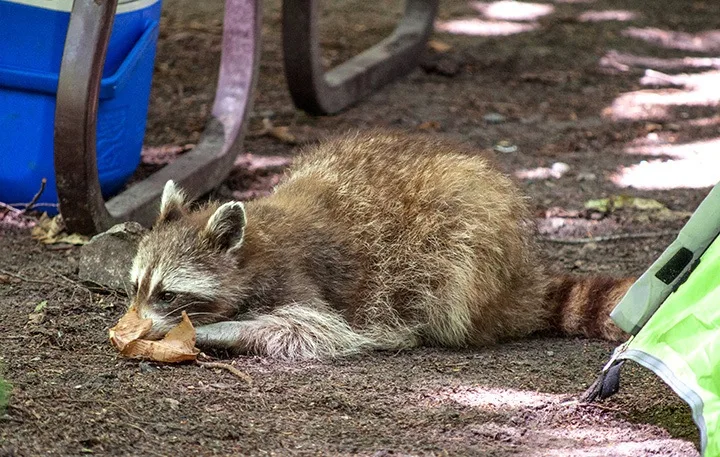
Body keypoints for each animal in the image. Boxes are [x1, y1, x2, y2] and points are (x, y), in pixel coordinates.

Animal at [126, 131, 632, 360]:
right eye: (135, 287)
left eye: (168, 293)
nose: (134, 325)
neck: (252, 248)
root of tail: (522, 279)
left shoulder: (298, 281)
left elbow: (311, 328)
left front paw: (218, 330)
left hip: (469, 236)